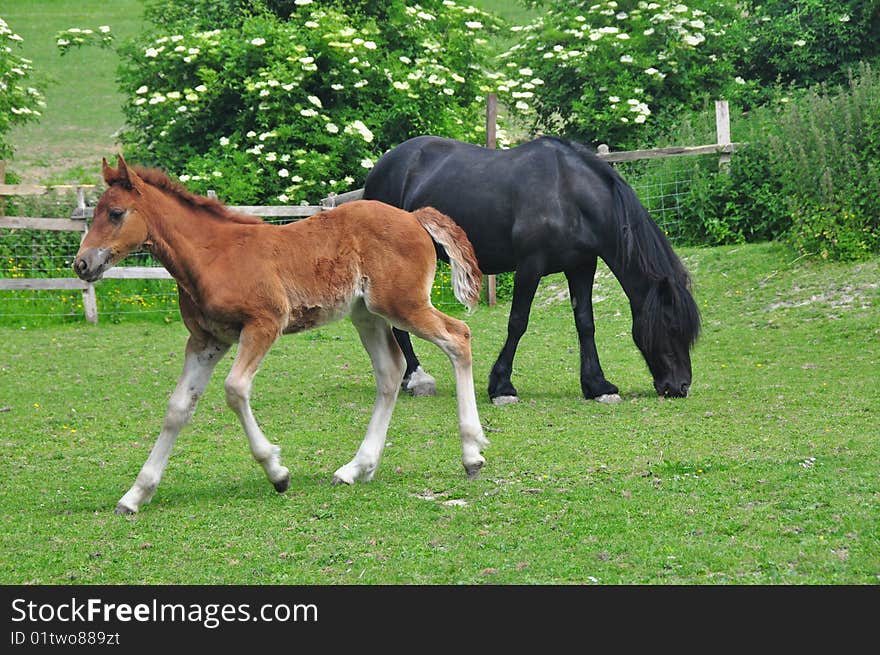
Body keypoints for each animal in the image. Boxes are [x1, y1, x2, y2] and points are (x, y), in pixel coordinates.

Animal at [73, 156, 488, 516]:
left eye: (115, 213)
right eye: (94, 213)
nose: (81, 264)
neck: (211, 255)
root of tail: (414, 217)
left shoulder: (263, 324)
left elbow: (235, 389)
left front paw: (278, 473)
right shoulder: (207, 340)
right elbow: (177, 409)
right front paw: (135, 495)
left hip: (402, 305)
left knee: (458, 337)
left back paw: (472, 455)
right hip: (367, 314)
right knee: (390, 371)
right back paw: (356, 468)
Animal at [360, 135, 696, 404]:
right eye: (671, 326)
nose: (680, 386)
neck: (567, 194)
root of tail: (382, 166)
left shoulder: (582, 266)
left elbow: (585, 323)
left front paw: (598, 385)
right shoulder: (530, 266)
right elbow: (518, 322)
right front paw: (502, 387)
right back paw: (418, 378)